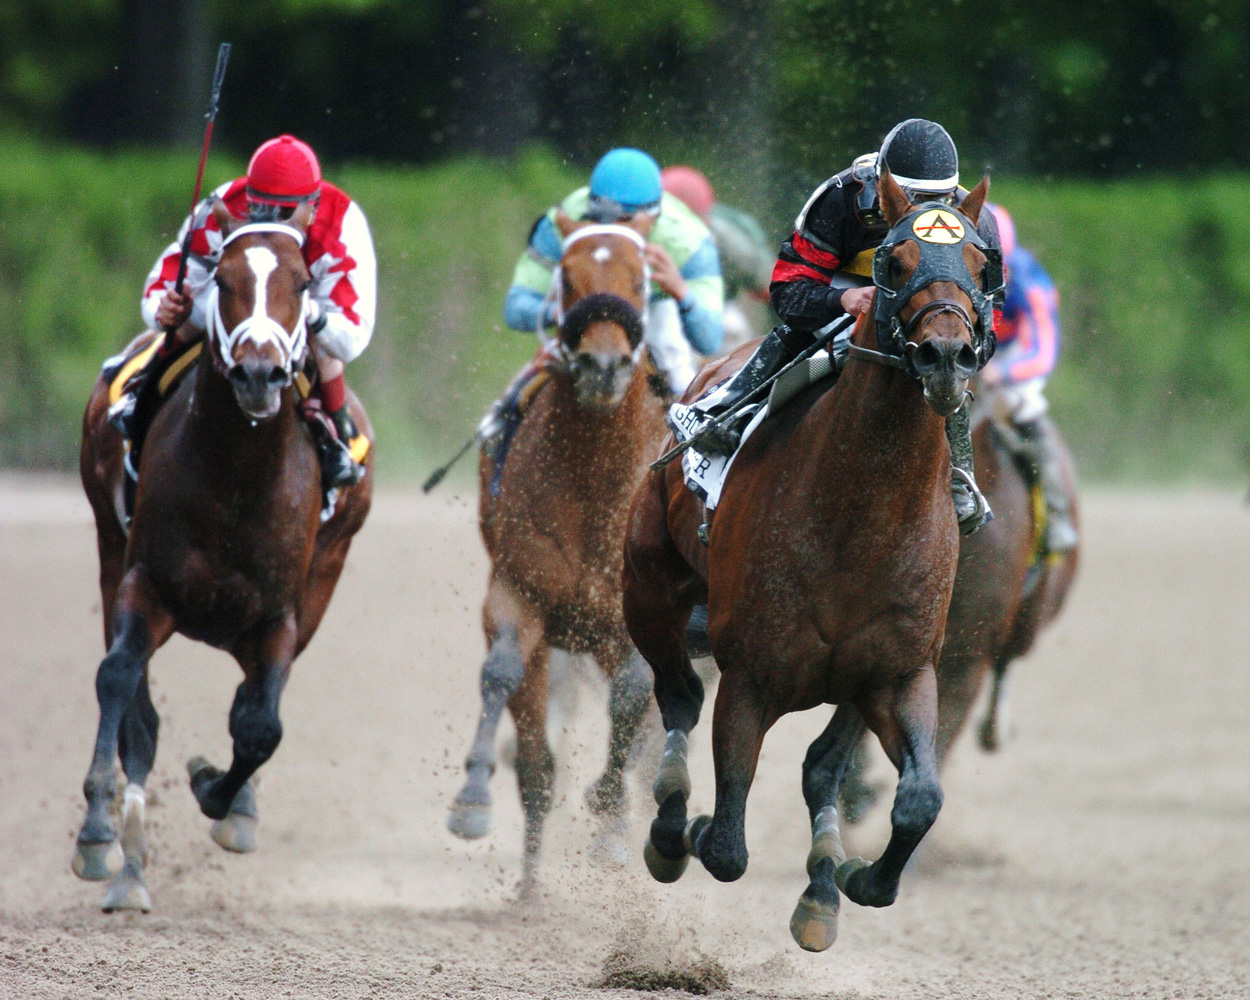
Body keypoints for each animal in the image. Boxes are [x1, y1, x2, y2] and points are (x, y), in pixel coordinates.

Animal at [72, 202, 370, 915]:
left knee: (249, 701)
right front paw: (99, 833)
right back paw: (130, 862)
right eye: (224, 279)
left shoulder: (279, 614)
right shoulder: (146, 582)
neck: (238, 474)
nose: (259, 373)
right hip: (109, 544)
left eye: (301, 282)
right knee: (138, 708)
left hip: (322, 579)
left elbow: (260, 725)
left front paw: (219, 793)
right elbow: (119, 683)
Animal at [625, 172, 1005, 955]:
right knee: (678, 695)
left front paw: (856, 880)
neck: (861, 518)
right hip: (645, 586)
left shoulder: (898, 672)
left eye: (982, 266)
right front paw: (696, 829)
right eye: (892, 262)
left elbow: (919, 799)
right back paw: (672, 824)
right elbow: (727, 845)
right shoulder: (752, 675)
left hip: (851, 684)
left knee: (821, 768)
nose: (945, 355)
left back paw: (822, 888)